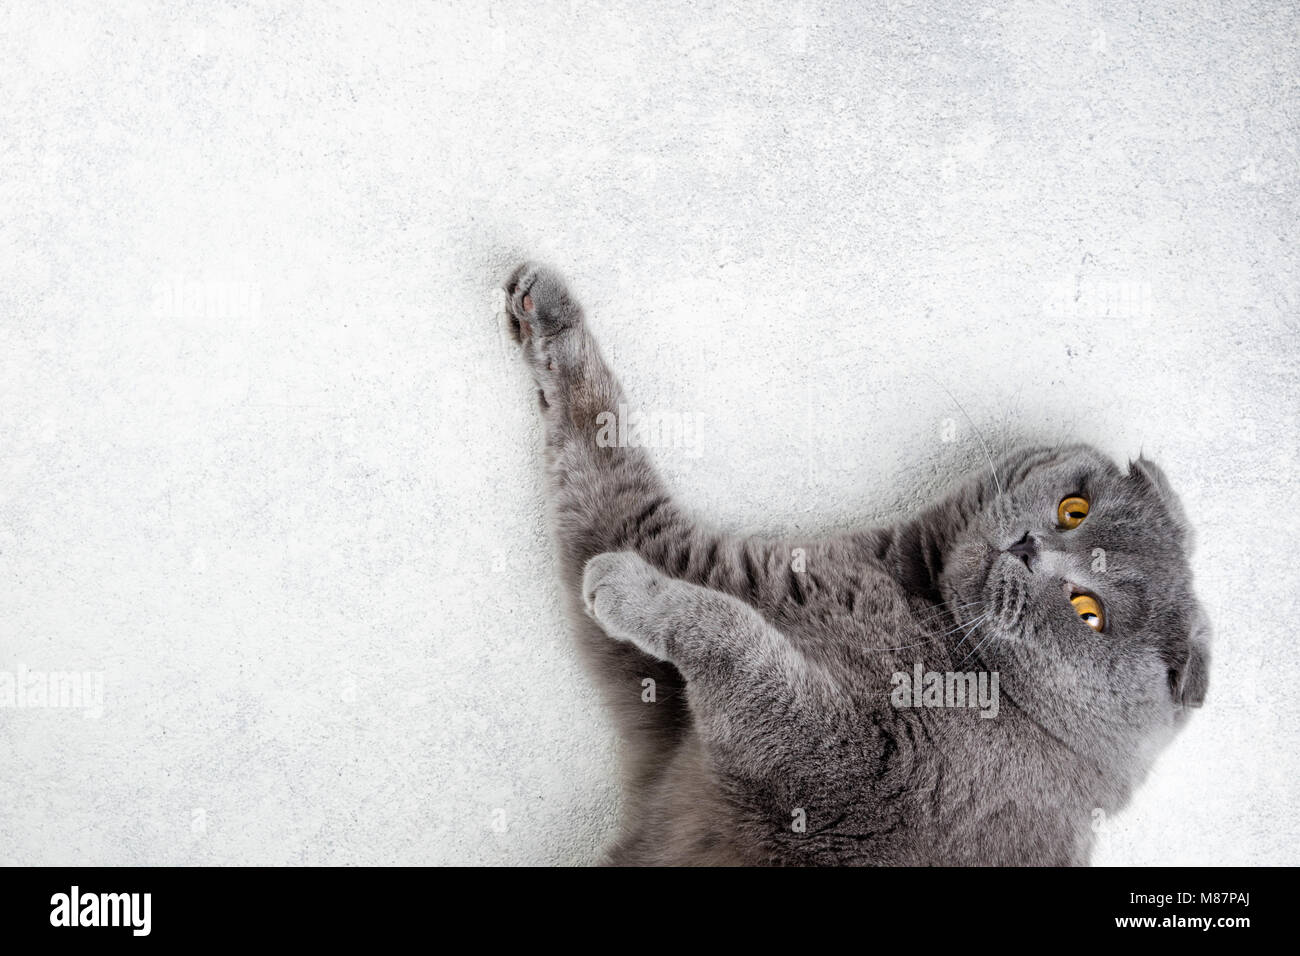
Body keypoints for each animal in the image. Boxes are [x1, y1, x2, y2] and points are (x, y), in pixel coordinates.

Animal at [499, 261, 1206, 868]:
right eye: (1073, 508)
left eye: (1089, 614)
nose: (1028, 548)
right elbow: (602, 456)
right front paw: (546, 313)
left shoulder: (850, 763)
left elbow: (739, 644)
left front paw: (629, 587)